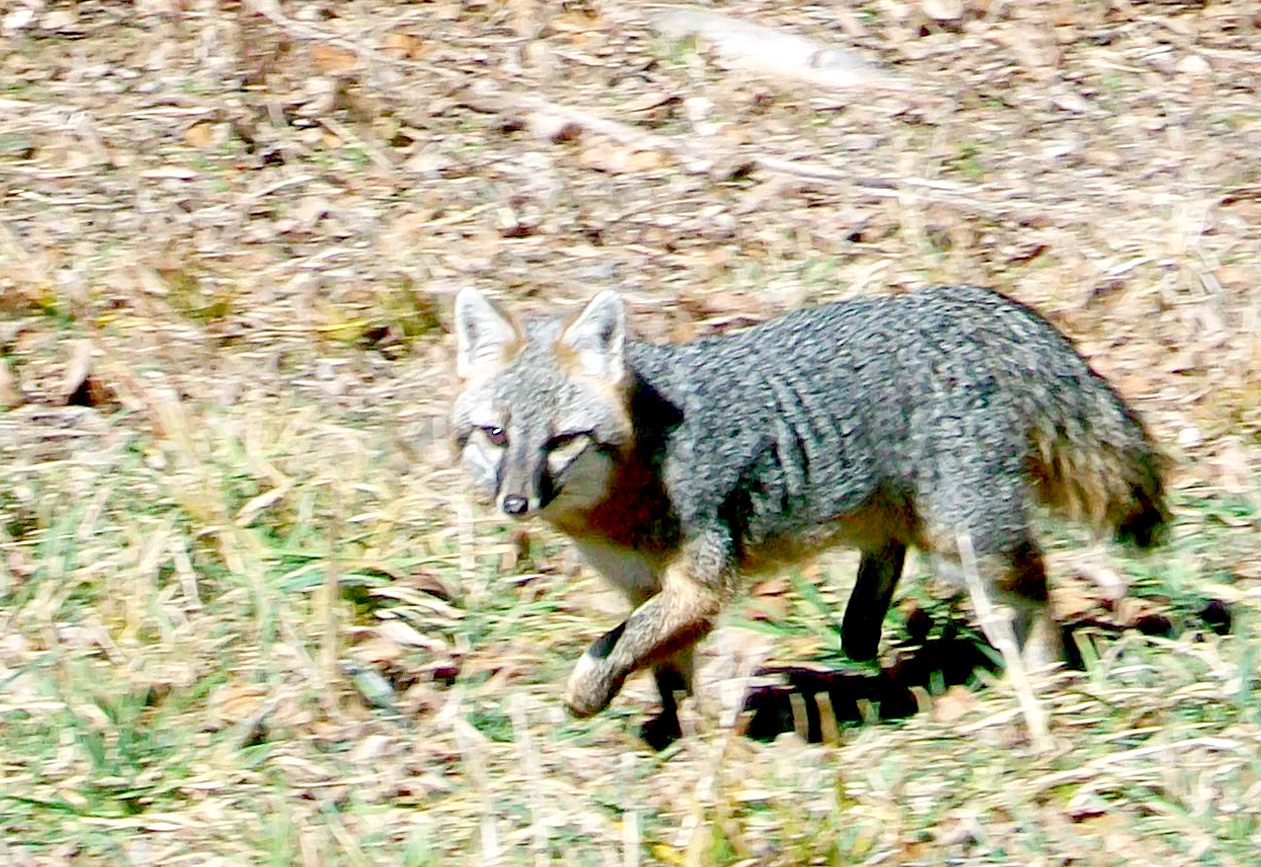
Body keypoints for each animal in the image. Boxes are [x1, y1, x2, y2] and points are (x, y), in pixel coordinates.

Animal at [448, 286, 1165, 746]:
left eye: (561, 440)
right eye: (496, 435)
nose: (514, 502)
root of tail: (958, 300)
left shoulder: (700, 584)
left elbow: (616, 642)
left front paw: (591, 692)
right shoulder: (644, 587)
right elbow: (660, 664)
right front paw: (682, 739)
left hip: (966, 542)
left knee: (1035, 590)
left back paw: (1044, 679)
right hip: (903, 517)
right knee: (889, 555)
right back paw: (862, 635)